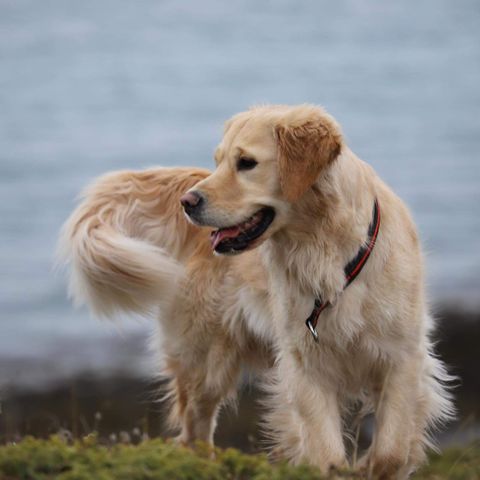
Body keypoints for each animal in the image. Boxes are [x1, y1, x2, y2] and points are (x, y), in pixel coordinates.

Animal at [58, 104, 452, 476]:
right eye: (218, 161)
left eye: (246, 163)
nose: (188, 202)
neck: (328, 255)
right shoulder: (305, 366)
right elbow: (326, 454)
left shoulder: (402, 357)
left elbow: (391, 451)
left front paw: (371, 465)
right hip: (205, 362)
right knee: (194, 431)